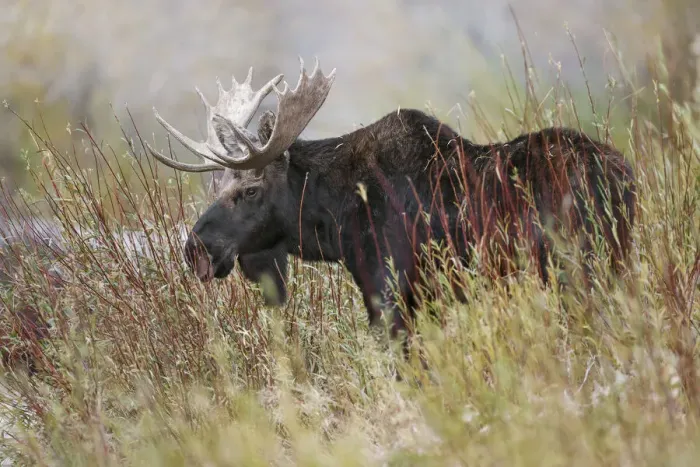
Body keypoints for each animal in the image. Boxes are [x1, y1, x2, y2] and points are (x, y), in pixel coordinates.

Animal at [145, 57, 637, 351]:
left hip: (579, 269)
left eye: (249, 190)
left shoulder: (388, 292)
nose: (194, 250)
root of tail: (627, 176)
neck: (332, 223)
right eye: (213, 187)